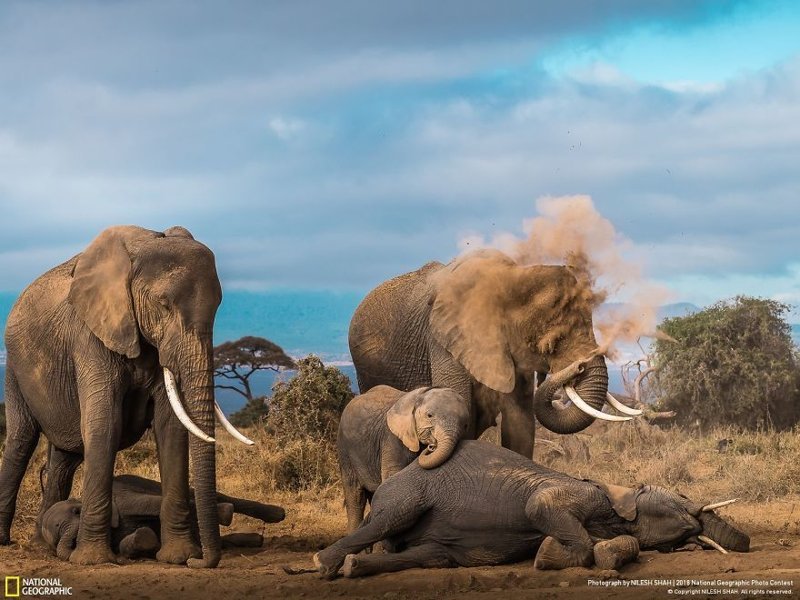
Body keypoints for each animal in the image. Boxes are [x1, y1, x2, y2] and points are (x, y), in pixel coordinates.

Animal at [0, 225, 252, 568]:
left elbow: (170, 427)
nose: (200, 562)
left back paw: (42, 543)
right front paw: (93, 560)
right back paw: (8, 540)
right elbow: (105, 424)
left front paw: (178, 557)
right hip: (14, 367)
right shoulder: (90, 335)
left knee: (65, 457)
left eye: (217, 306)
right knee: (22, 440)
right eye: (163, 303)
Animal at [40, 474, 286, 564]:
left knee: (211, 495)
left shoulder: (119, 498)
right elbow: (132, 542)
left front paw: (224, 512)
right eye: (57, 537)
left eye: (77, 512)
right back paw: (255, 540)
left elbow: (147, 503)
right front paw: (144, 537)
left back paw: (273, 514)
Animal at [314, 438, 752, 580]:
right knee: (387, 520)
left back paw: (355, 568)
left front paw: (604, 555)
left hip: (434, 548)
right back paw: (325, 563)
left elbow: (620, 544)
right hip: (408, 493)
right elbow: (540, 507)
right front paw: (545, 556)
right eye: (680, 497)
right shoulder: (575, 494)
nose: (747, 545)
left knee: (431, 556)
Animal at [338, 386, 468, 532]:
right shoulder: (392, 439)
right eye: (429, 416)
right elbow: (393, 476)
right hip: (345, 448)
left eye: (465, 425)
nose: (432, 446)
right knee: (355, 495)